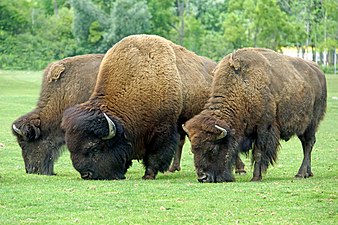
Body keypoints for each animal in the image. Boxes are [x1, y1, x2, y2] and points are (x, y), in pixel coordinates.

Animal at [60, 34, 232, 180]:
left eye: (94, 148)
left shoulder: (162, 130)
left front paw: (148, 175)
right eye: (71, 147)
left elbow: (155, 154)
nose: (86, 174)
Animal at [184, 48, 326, 183]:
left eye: (212, 149)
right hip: (303, 128)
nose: (203, 177)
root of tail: (318, 72)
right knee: (305, 144)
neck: (242, 87)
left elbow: (258, 152)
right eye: (193, 150)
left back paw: (300, 174)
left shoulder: (263, 129)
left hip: (311, 124)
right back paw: (308, 173)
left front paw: (256, 177)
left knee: (308, 144)